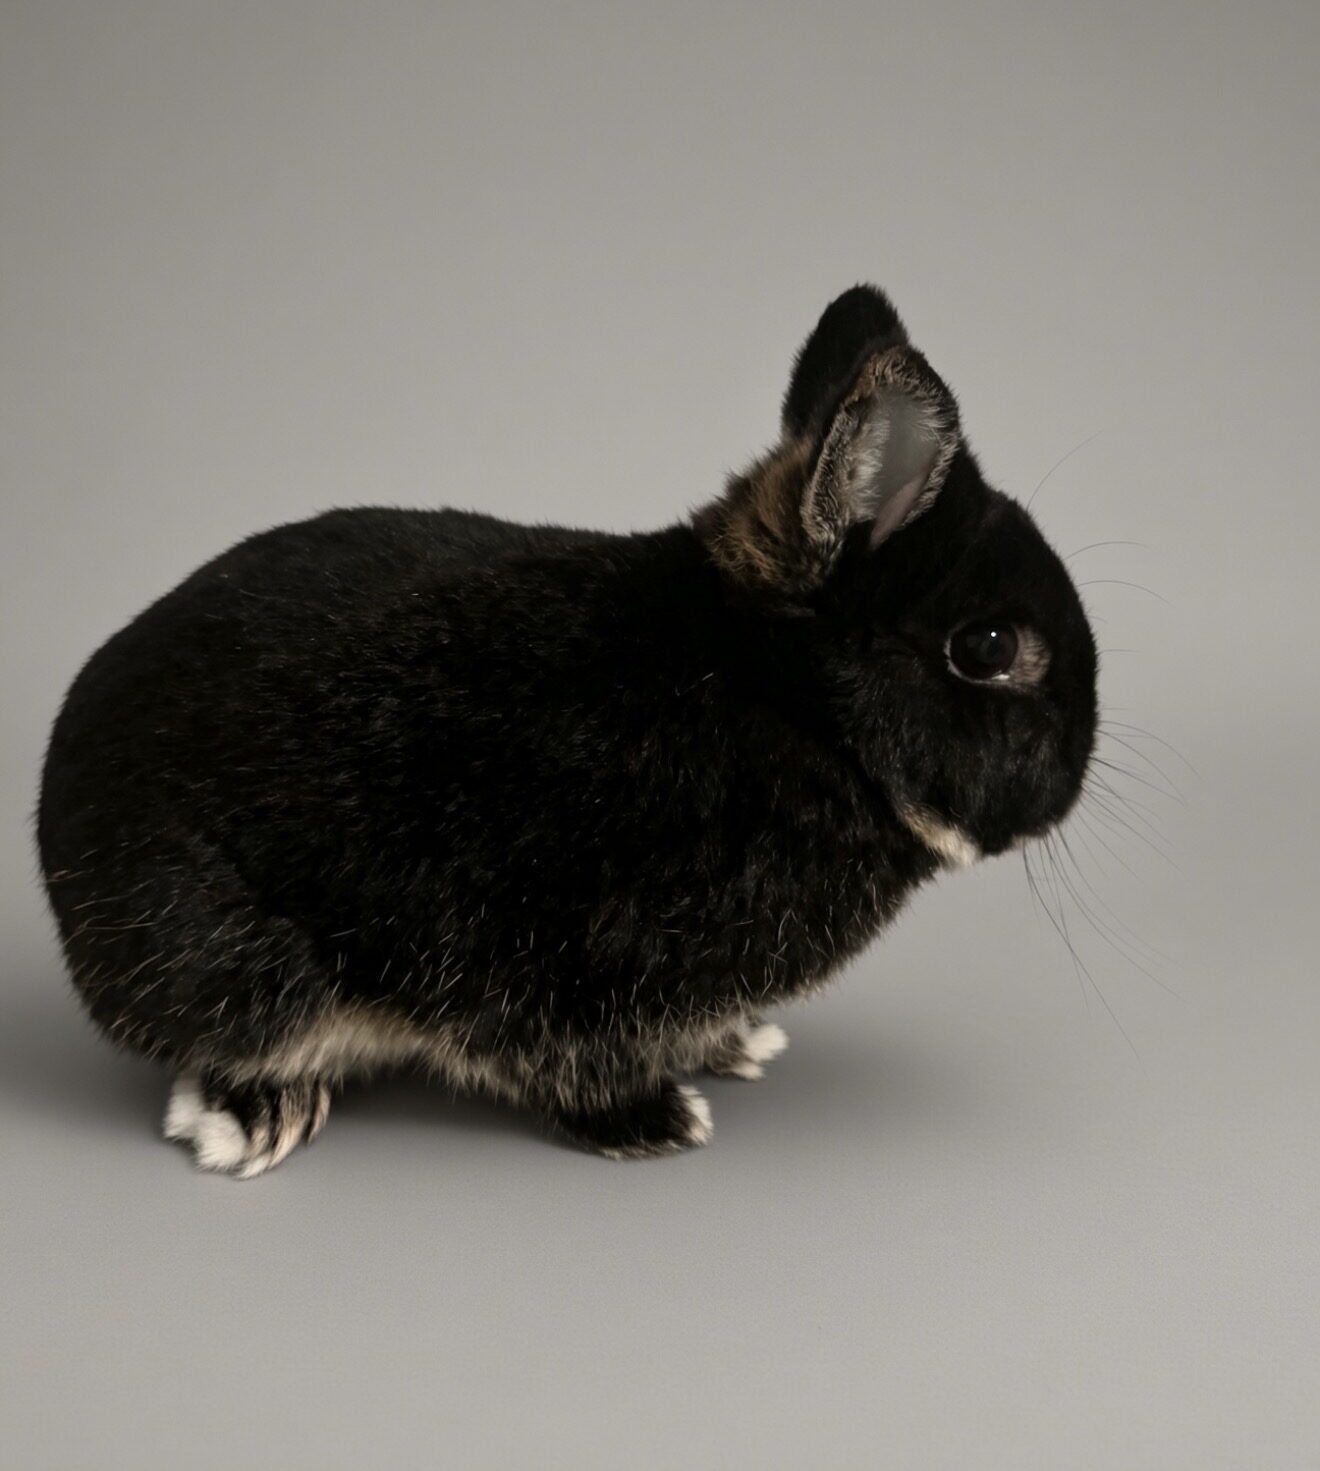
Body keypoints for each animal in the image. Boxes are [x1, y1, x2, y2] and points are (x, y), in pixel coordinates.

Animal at [37, 284, 1098, 1175]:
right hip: (236, 960)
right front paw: (654, 1122)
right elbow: (562, 1055)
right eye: (990, 646)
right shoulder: (560, 961)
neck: (795, 708)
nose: (1074, 773)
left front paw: (736, 1044)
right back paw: (254, 1118)